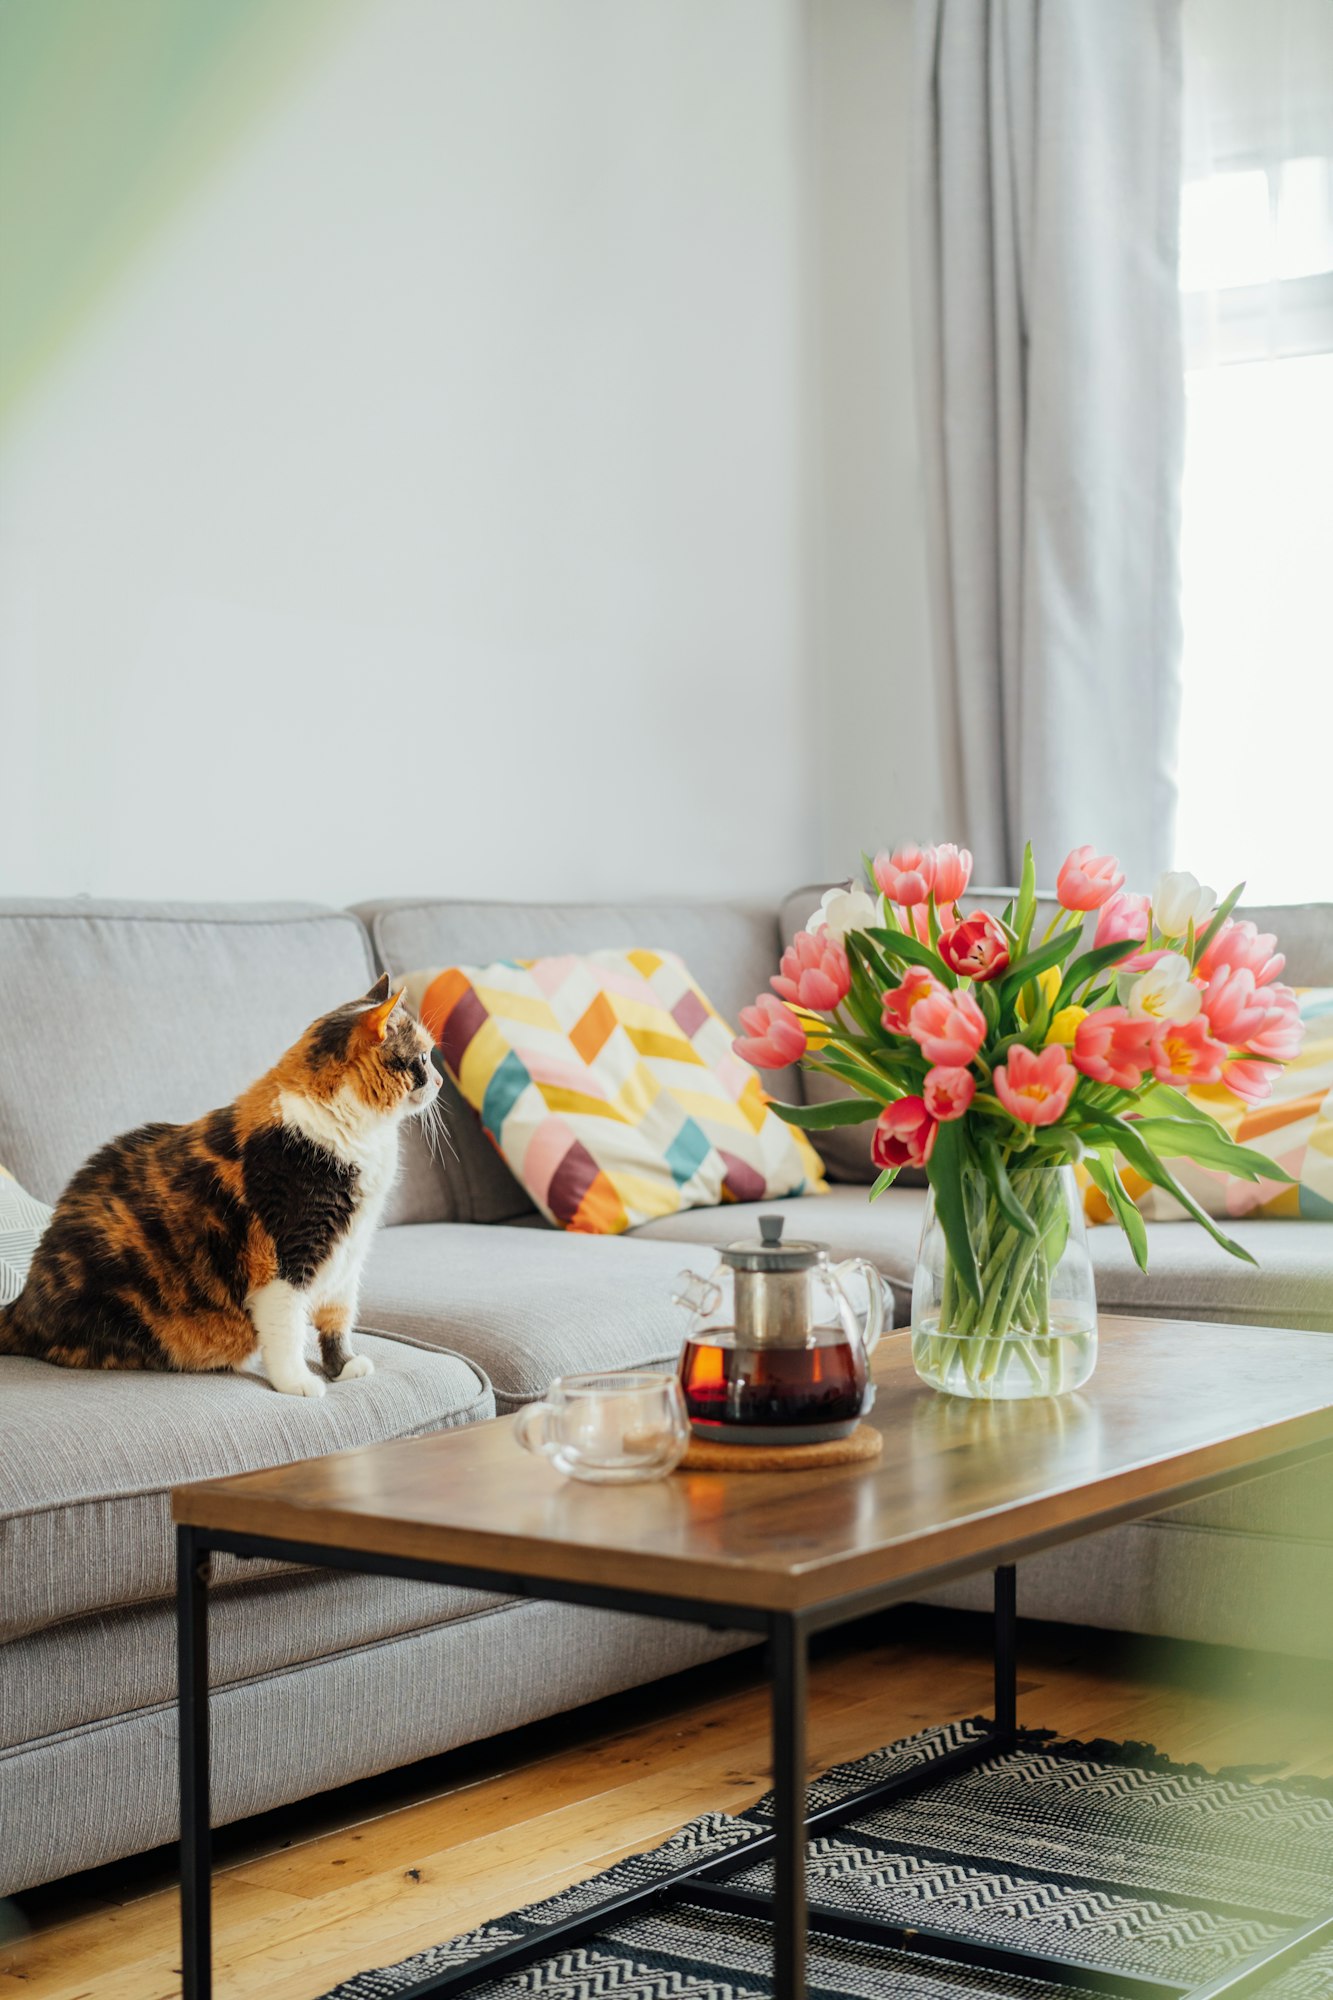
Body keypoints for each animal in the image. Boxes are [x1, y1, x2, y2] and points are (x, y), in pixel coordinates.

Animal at [0, 976, 440, 1400]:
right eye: (422, 1057)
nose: (437, 1080)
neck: (357, 1137)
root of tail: (22, 1304)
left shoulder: (349, 1255)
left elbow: (338, 1316)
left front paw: (343, 1366)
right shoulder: (288, 1259)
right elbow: (288, 1328)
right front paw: (297, 1382)